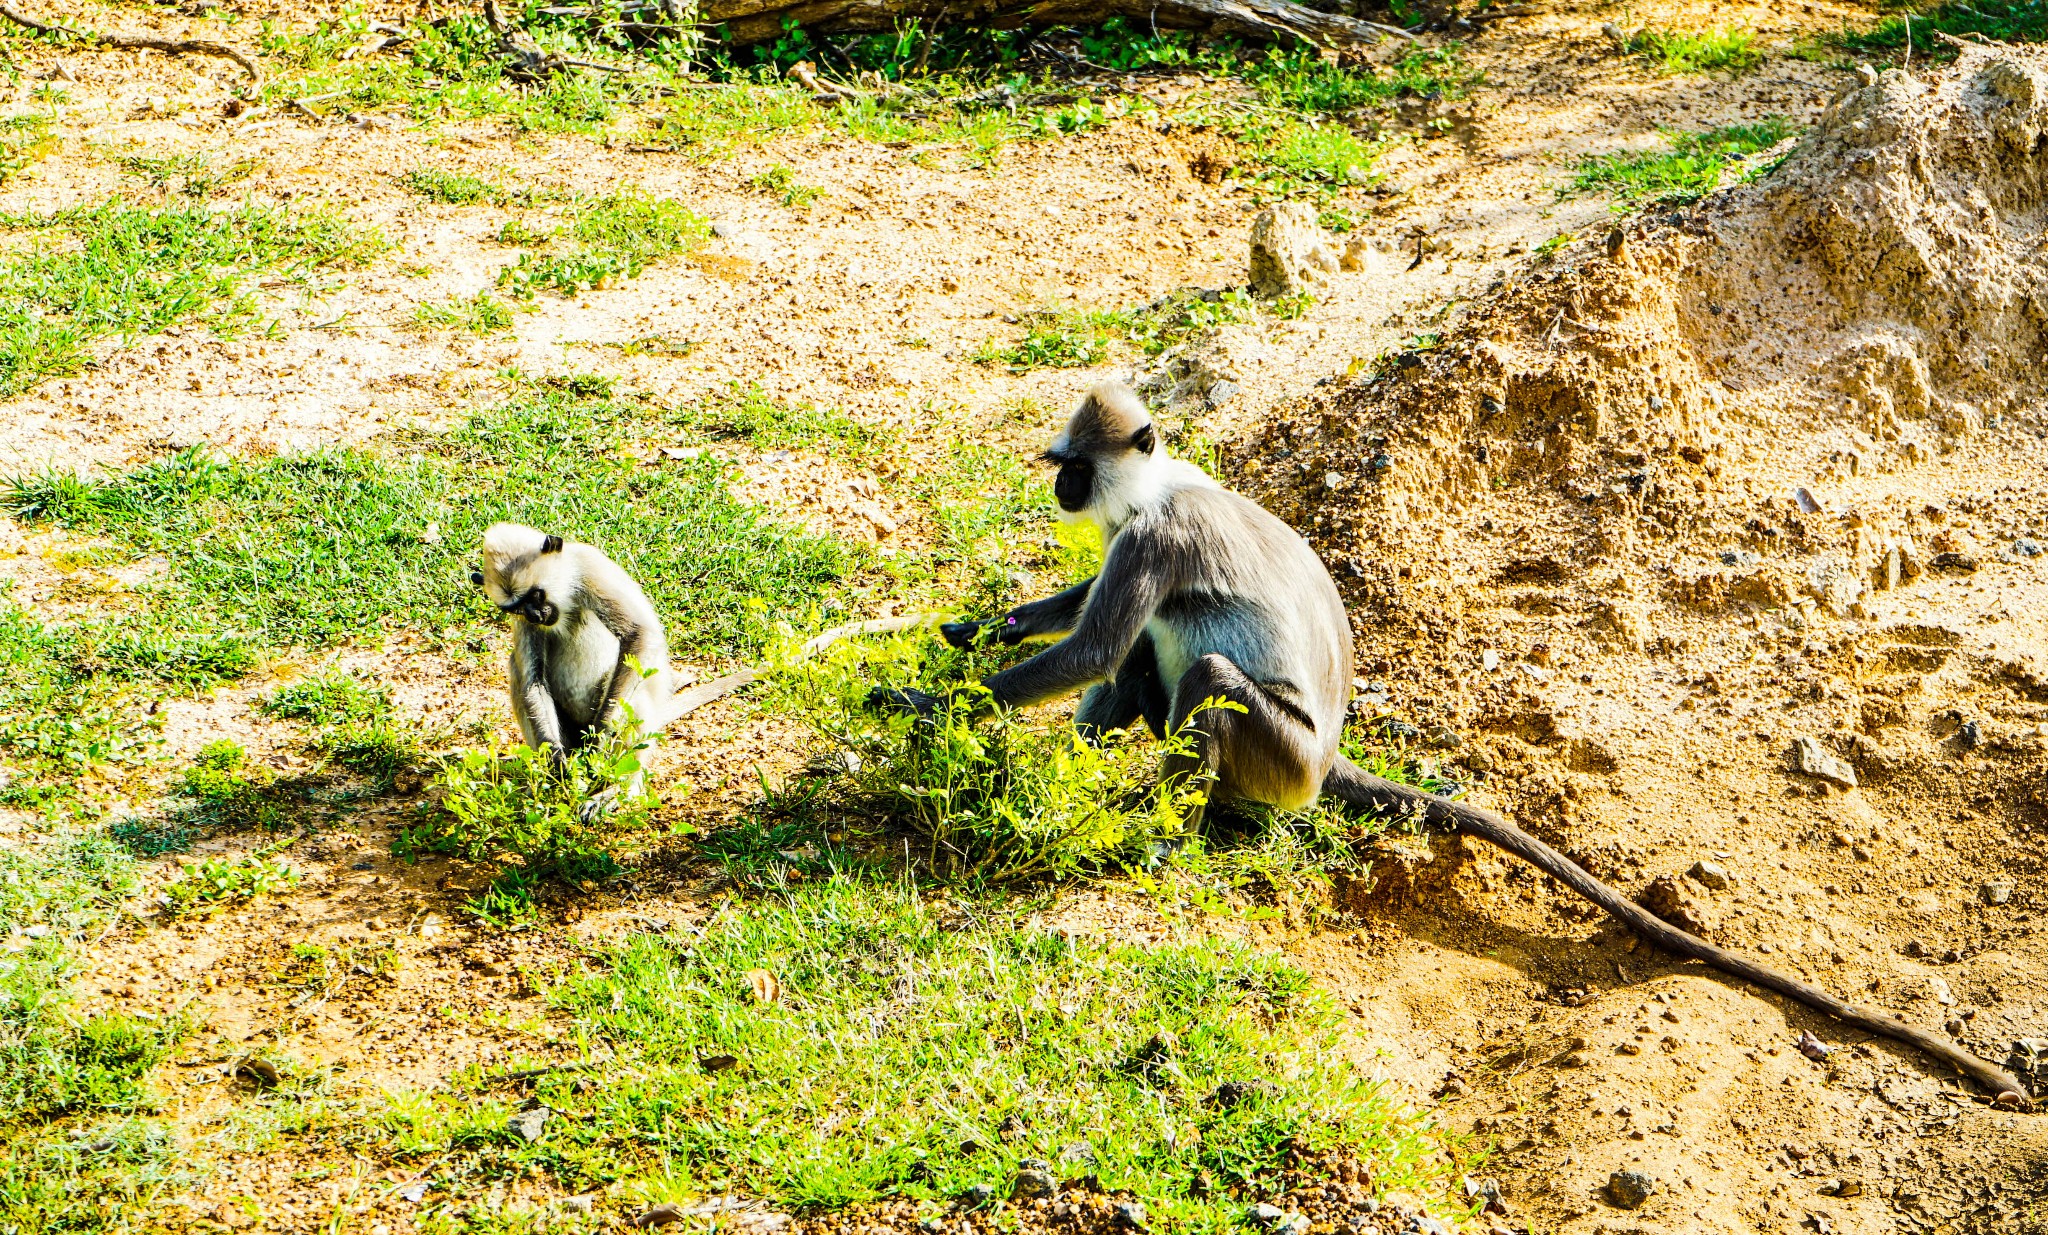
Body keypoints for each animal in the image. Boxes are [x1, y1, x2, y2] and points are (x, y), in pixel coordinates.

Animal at [473, 520, 679, 790]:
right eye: (518, 609)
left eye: (536, 595)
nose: (536, 615)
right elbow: (533, 681)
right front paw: (556, 759)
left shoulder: (589, 567)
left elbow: (640, 635)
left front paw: (600, 739)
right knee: (518, 673)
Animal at [868, 378, 2031, 1097]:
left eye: (1075, 464)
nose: (1060, 485)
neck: (1157, 487)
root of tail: (1326, 757)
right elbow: (1083, 628)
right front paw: (974, 634)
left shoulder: (1154, 535)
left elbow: (1096, 637)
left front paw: (925, 706)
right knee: (1147, 667)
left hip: (1281, 756)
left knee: (1194, 671)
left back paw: (1173, 824)